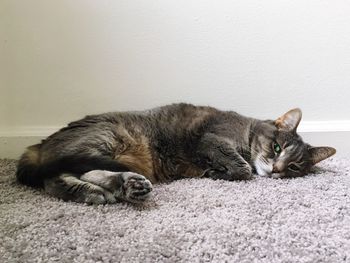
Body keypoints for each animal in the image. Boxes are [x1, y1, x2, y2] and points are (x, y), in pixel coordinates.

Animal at [17, 102, 336, 204]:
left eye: (294, 168)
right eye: (277, 147)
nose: (278, 169)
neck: (246, 130)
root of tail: (39, 144)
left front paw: (215, 172)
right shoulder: (212, 139)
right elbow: (242, 168)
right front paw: (222, 172)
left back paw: (125, 187)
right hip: (106, 139)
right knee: (54, 178)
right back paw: (94, 191)